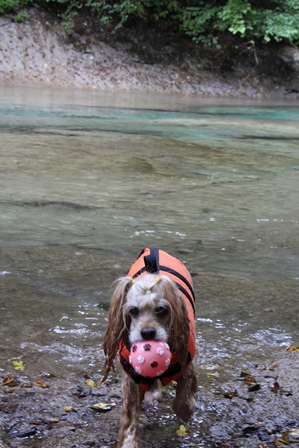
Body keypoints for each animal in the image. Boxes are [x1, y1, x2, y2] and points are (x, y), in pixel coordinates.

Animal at [102, 248, 197, 448]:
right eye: (133, 310)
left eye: (161, 309)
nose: (147, 333)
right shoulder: (131, 376)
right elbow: (130, 417)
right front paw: (129, 442)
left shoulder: (187, 363)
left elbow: (183, 399)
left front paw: (186, 410)